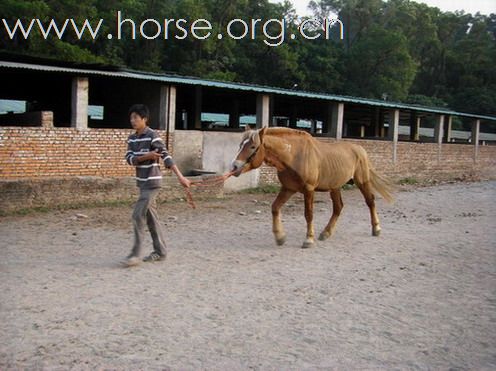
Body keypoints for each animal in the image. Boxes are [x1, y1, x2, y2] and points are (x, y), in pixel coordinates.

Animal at [231, 128, 394, 250]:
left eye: (252, 146)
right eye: (240, 145)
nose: (234, 166)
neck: (294, 156)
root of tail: (360, 149)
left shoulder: (309, 190)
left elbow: (308, 214)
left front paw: (308, 239)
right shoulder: (288, 188)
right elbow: (275, 208)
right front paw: (280, 237)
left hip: (362, 182)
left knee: (370, 201)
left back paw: (376, 228)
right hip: (335, 186)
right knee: (338, 207)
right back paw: (326, 233)